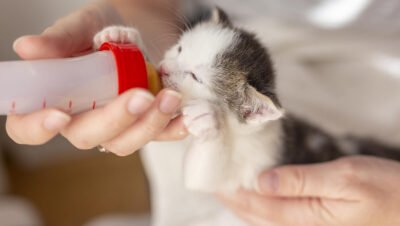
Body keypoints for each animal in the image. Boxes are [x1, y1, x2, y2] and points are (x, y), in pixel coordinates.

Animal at [94, 7, 400, 193]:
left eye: (195, 77)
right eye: (179, 49)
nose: (165, 69)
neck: (239, 132)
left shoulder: (254, 162)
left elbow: (200, 177)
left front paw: (208, 119)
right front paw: (122, 35)